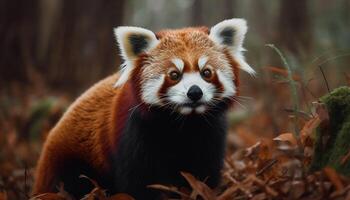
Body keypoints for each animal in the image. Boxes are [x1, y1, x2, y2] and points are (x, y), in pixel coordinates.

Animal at [32, 18, 254, 198]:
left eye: (206, 72)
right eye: (174, 75)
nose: (194, 92)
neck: (184, 123)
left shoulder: (210, 133)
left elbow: (205, 171)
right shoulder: (133, 132)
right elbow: (138, 181)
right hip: (69, 162)